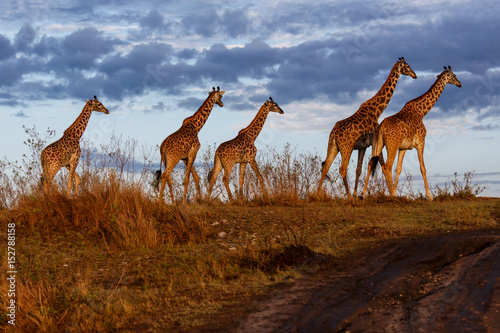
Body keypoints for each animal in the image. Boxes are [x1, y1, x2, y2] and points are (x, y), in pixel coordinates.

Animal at [316, 58, 418, 196]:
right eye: (407, 66)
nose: (415, 75)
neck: (377, 110)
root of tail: (334, 134)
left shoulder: (363, 146)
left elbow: (359, 170)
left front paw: (356, 194)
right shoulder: (375, 141)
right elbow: (383, 165)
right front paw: (391, 193)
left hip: (333, 147)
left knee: (326, 166)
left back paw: (316, 193)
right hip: (346, 148)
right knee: (342, 168)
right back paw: (347, 196)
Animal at [362, 66, 462, 198]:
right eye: (454, 75)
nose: (460, 84)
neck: (422, 112)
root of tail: (381, 128)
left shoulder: (403, 148)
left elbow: (398, 169)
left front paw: (395, 190)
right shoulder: (421, 142)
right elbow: (423, 168)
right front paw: (430, 196)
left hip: (377, 145)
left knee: (371, 163)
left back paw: (363, 194)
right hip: (392, 145)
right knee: (387, 166)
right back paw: (392, 195)